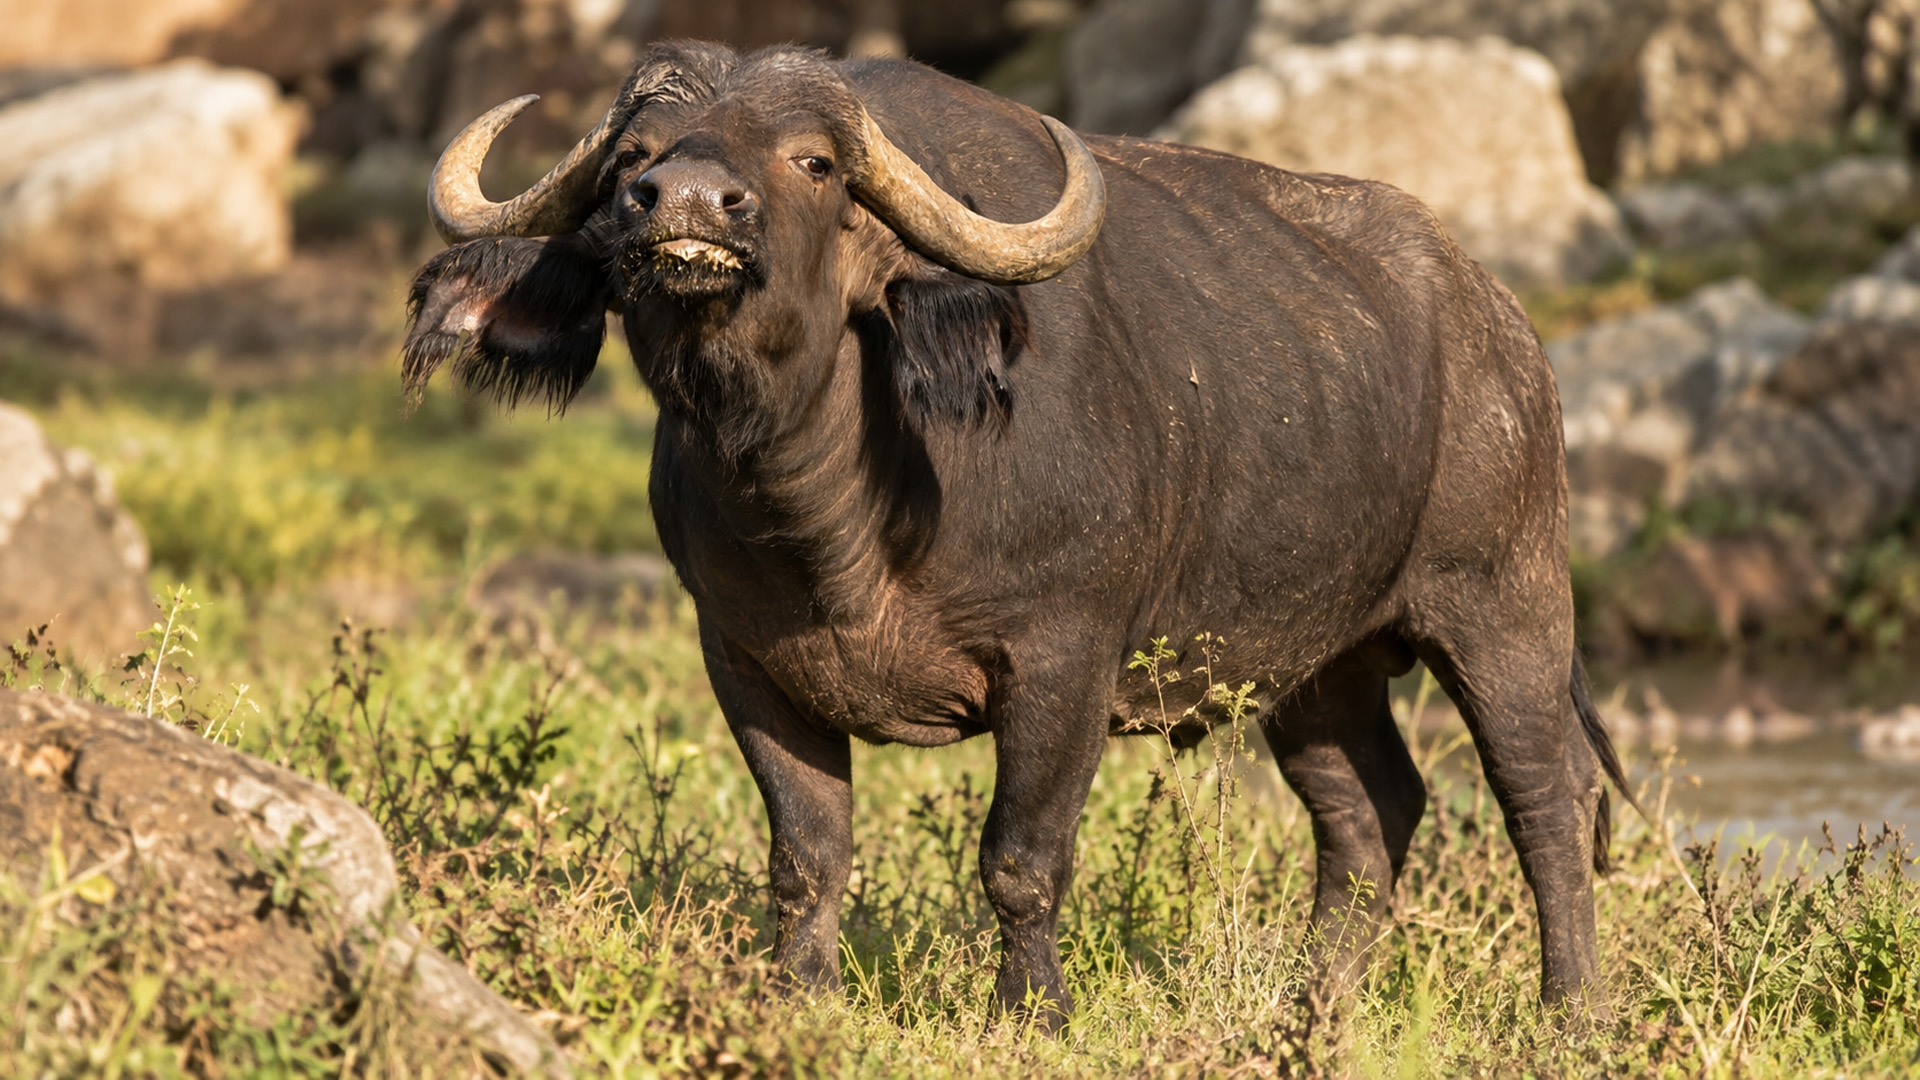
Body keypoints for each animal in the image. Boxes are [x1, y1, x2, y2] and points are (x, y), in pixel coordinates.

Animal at [401, 40, 1632, 1027]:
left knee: (1545, 799)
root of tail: (1503, 327)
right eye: (629, 162)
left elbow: (1021, 859)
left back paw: (1572, 1012)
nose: (688, 202)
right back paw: (1312, 1004)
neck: (833, 524)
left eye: (814, 163)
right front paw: (801, 995)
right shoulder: (744, 659)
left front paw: (1033, 1009)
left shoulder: (1062, 662)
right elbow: (807, 855)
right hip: (1313, 665)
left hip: (1504, 608)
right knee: (1369, 809)